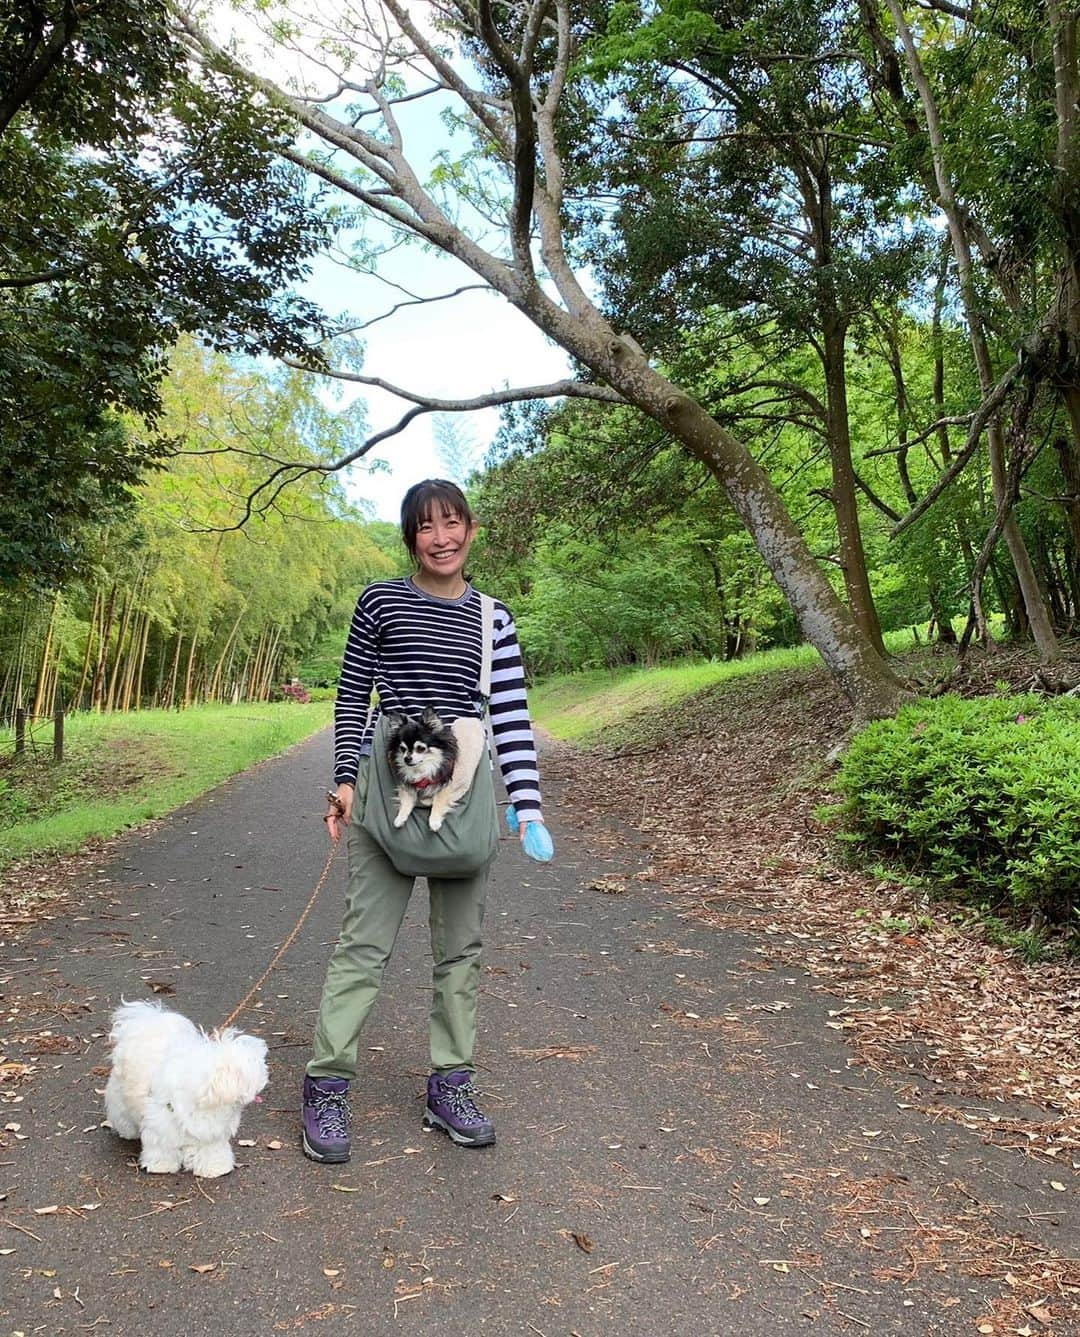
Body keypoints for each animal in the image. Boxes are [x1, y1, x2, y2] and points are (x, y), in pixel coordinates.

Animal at [103, 1000, 267, 1176]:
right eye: (257, 1071)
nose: (266, 1079)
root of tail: (150, 1021)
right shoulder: (161, 1125)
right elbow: (162, 1148)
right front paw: (162, 1165)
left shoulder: (212, 1134)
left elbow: (211, 1151)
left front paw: (214, 1167)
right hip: (120, 1096)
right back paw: (127, 1131)